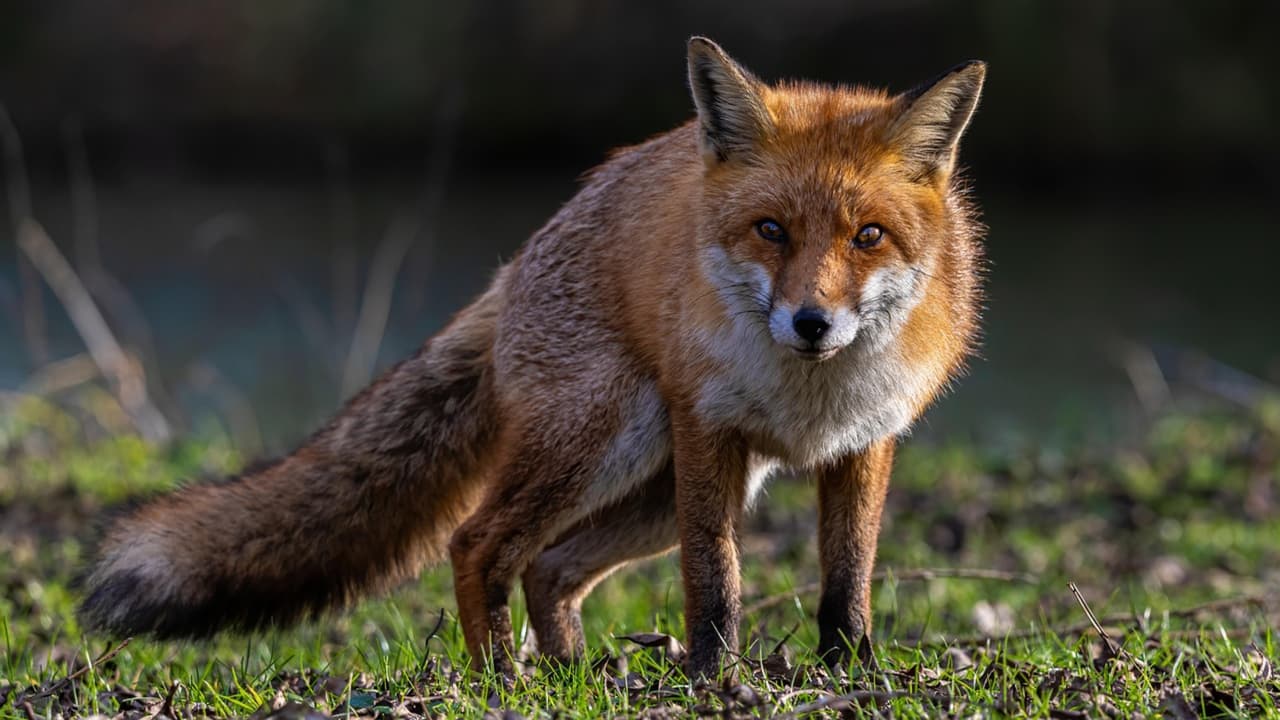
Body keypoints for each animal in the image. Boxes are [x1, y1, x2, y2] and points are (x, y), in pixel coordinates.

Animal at [79, 37, 986, 679]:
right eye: (771, 230)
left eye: (868, 236)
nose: (811, 323)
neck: (809, 396)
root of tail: (515, 263)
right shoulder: (709, 431)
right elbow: (714, 578)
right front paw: (713, 677)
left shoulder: (865, 442)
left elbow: (847, 579)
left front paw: (850, 672)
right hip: (608, 445)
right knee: (479, 544)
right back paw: (501, 679)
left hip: (653, 488)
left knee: (550, 565)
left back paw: (573, 673)